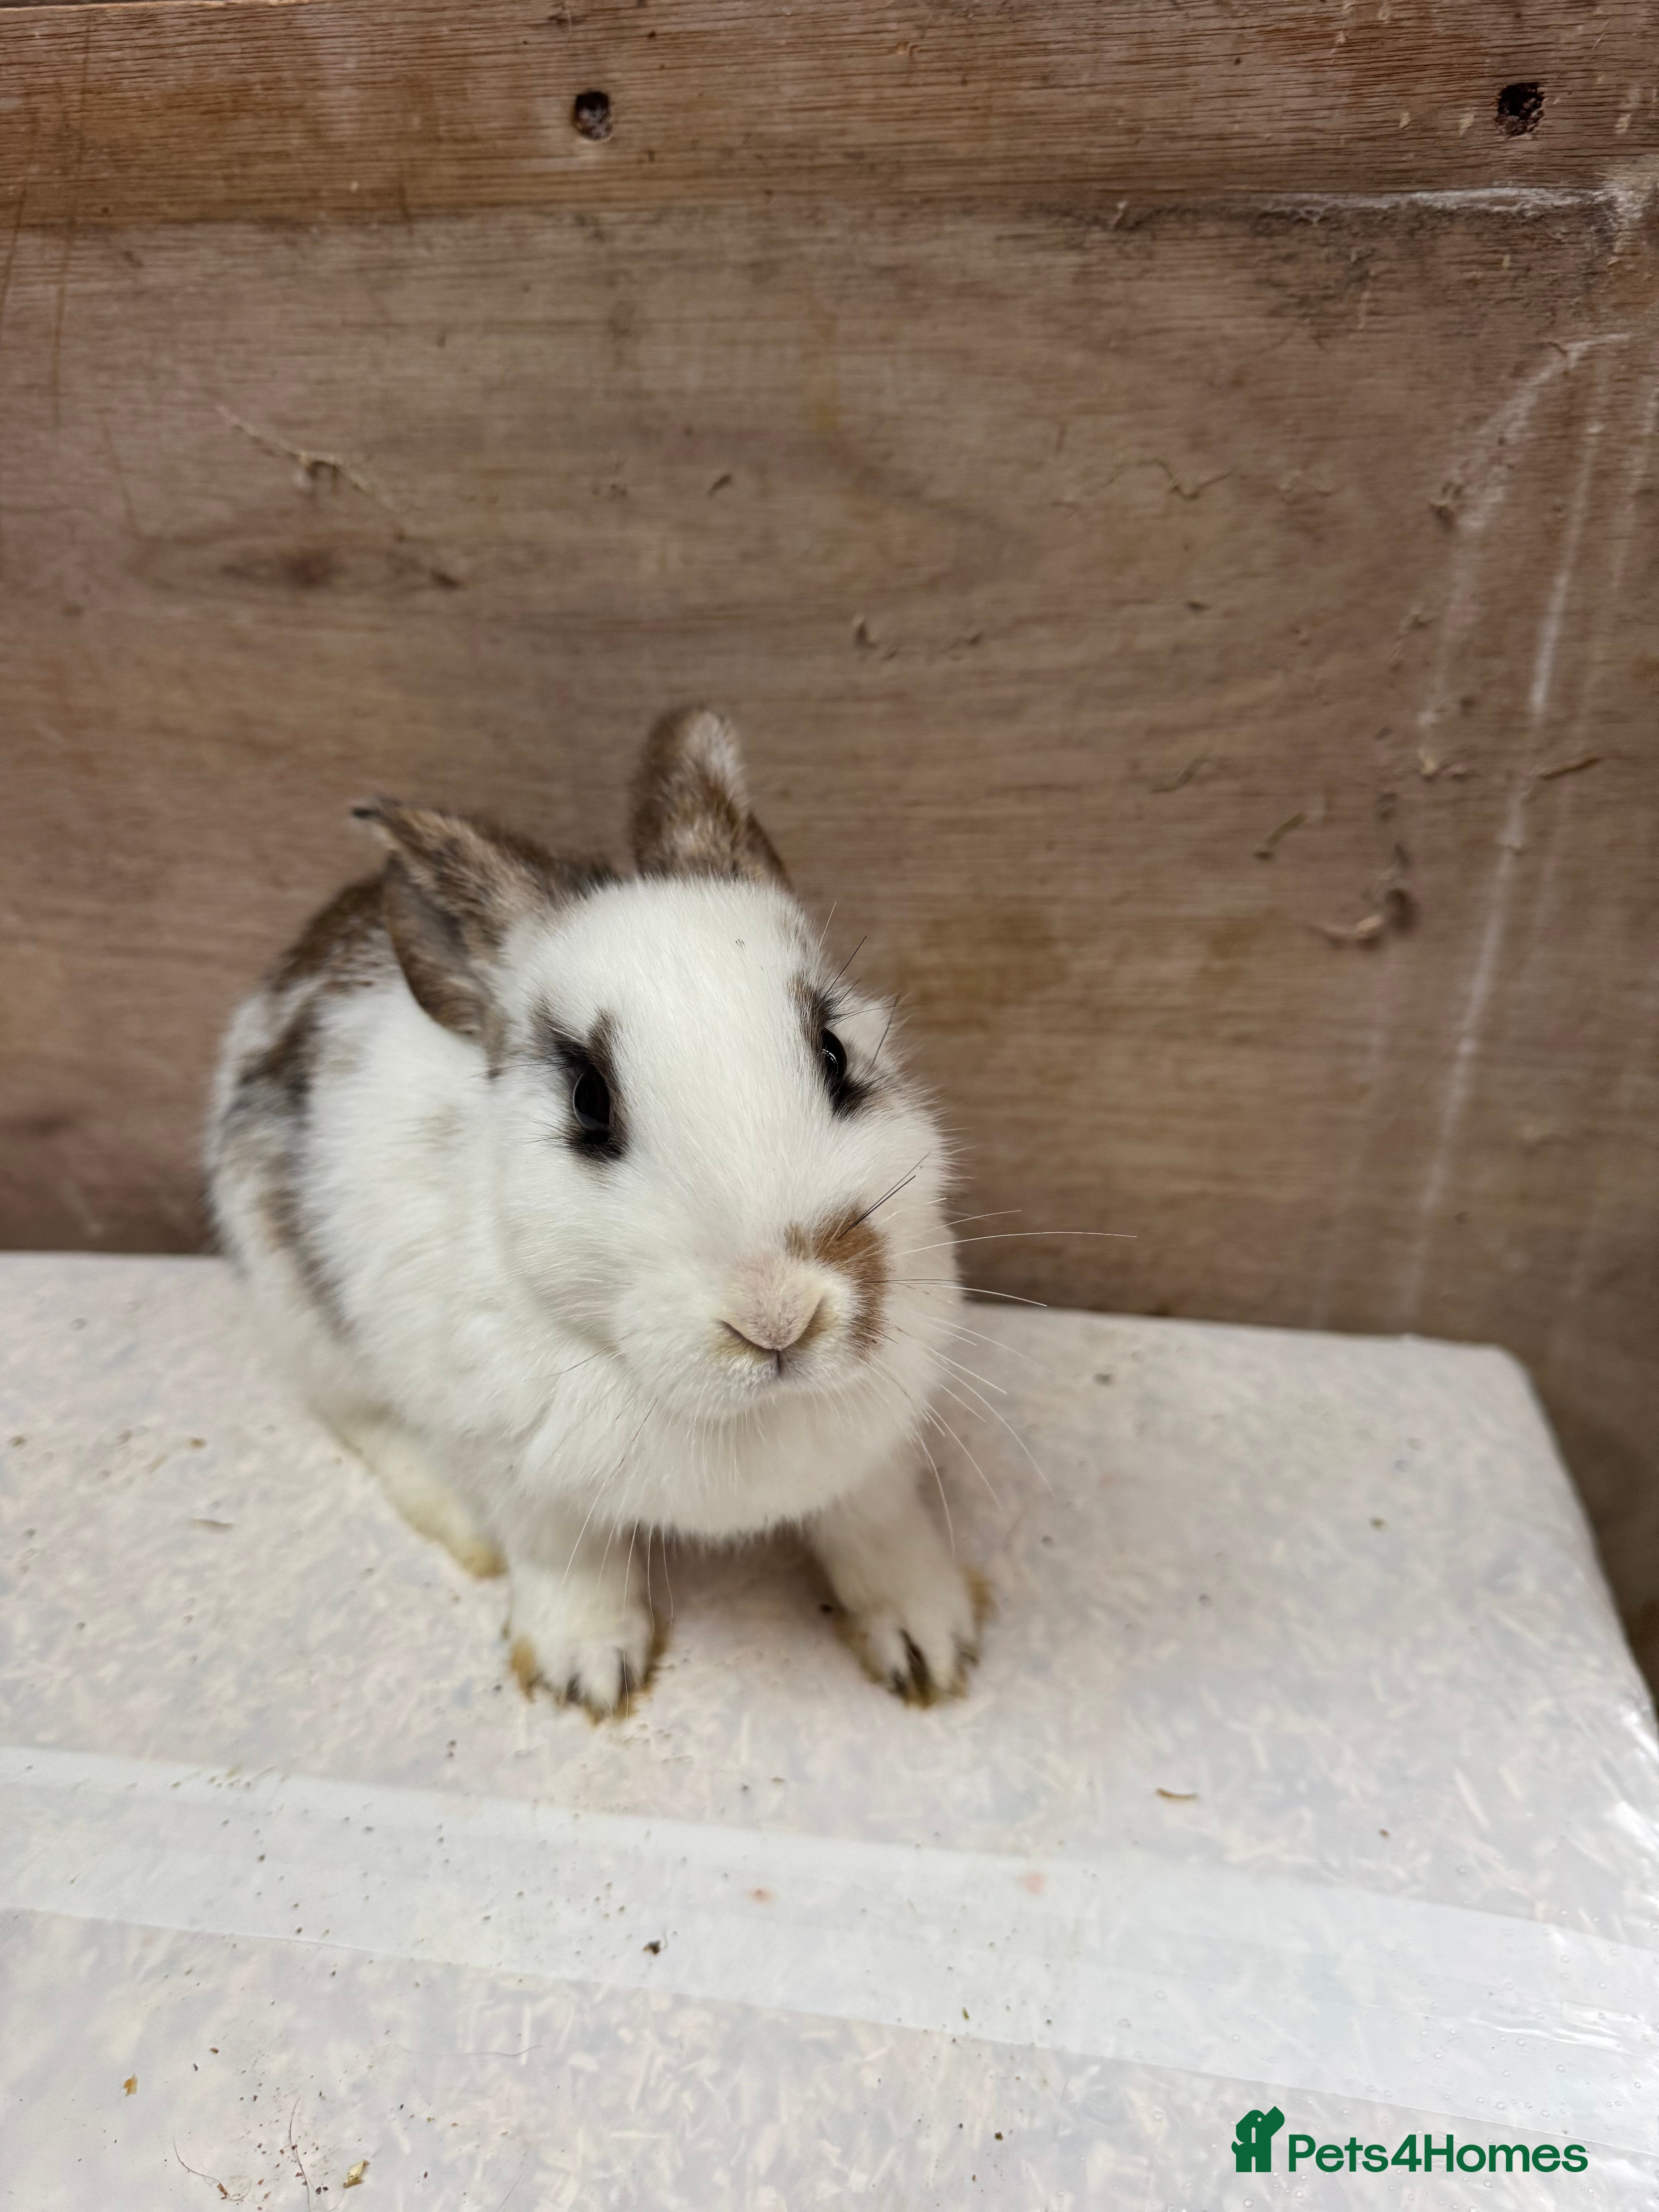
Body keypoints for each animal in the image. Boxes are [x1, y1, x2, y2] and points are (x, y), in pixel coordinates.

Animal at [206, 706, 980, 1715]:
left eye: (835, 1053)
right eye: (588, 1101)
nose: (779, 1316)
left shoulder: (875, 1462)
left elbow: (881, 1533)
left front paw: (930, 1645)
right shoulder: (523, 1478)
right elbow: (568, 1566)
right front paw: (588, 1672)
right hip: (296, 1306)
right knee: (363, 1422)